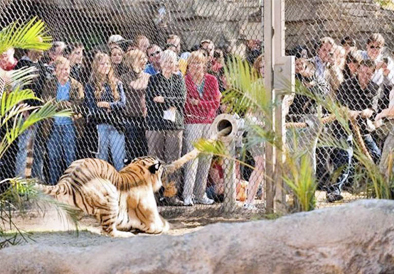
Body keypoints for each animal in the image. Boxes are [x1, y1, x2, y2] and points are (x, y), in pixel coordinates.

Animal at [37, 156, 171, 238]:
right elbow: (163, 225)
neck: (138, 168)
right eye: (160, 164)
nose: (165, 163)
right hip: (111, 197)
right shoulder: (153, 219)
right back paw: (125, 234)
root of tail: (67, 180)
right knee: (108, 230)